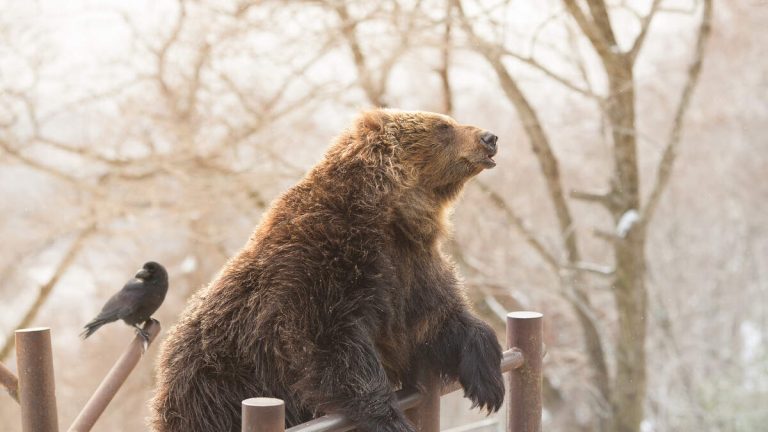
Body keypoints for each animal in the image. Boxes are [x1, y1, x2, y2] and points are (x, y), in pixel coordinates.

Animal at [150, 109, 504, 432]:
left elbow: (436, 317)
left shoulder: (411, 267)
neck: (390, 215)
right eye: (443, 126)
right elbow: (333, 348)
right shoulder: (321, 270)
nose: (490, 137)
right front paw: (390, 419)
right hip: (217, 388)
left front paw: (489, 382)